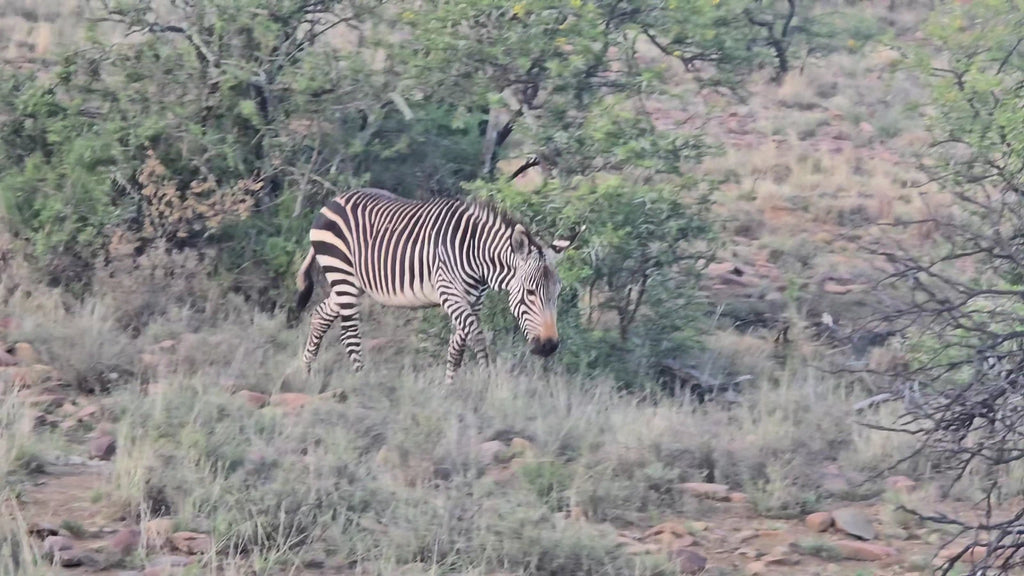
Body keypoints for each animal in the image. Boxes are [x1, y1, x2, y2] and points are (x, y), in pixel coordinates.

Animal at [293, 187, 581, 384]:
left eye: (557, 294)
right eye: (530, 292)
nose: (548, 346)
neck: (477, 254)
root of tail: (332, 202)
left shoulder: (473, 299)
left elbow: (457, 346)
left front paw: (449, 389)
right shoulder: (449, 292)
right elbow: (477, 337)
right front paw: (487, 381)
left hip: (353, 282)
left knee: (320, 315)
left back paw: (306, 373)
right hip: (342, 274)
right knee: (349, 333)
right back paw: (361, 380)